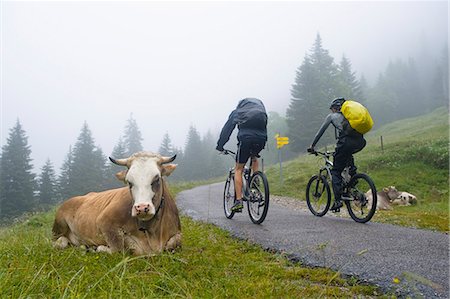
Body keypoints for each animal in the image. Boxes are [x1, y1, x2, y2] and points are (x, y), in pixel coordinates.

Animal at [54, 154, 183, 256]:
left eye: (156, 179)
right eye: (129, 182)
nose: (141, 208)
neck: (152, 232)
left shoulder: (177, 232)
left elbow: (175, 242)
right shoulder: (105, 221)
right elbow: (119, 249)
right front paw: (99, 248)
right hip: (58, 226)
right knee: (60, 242)